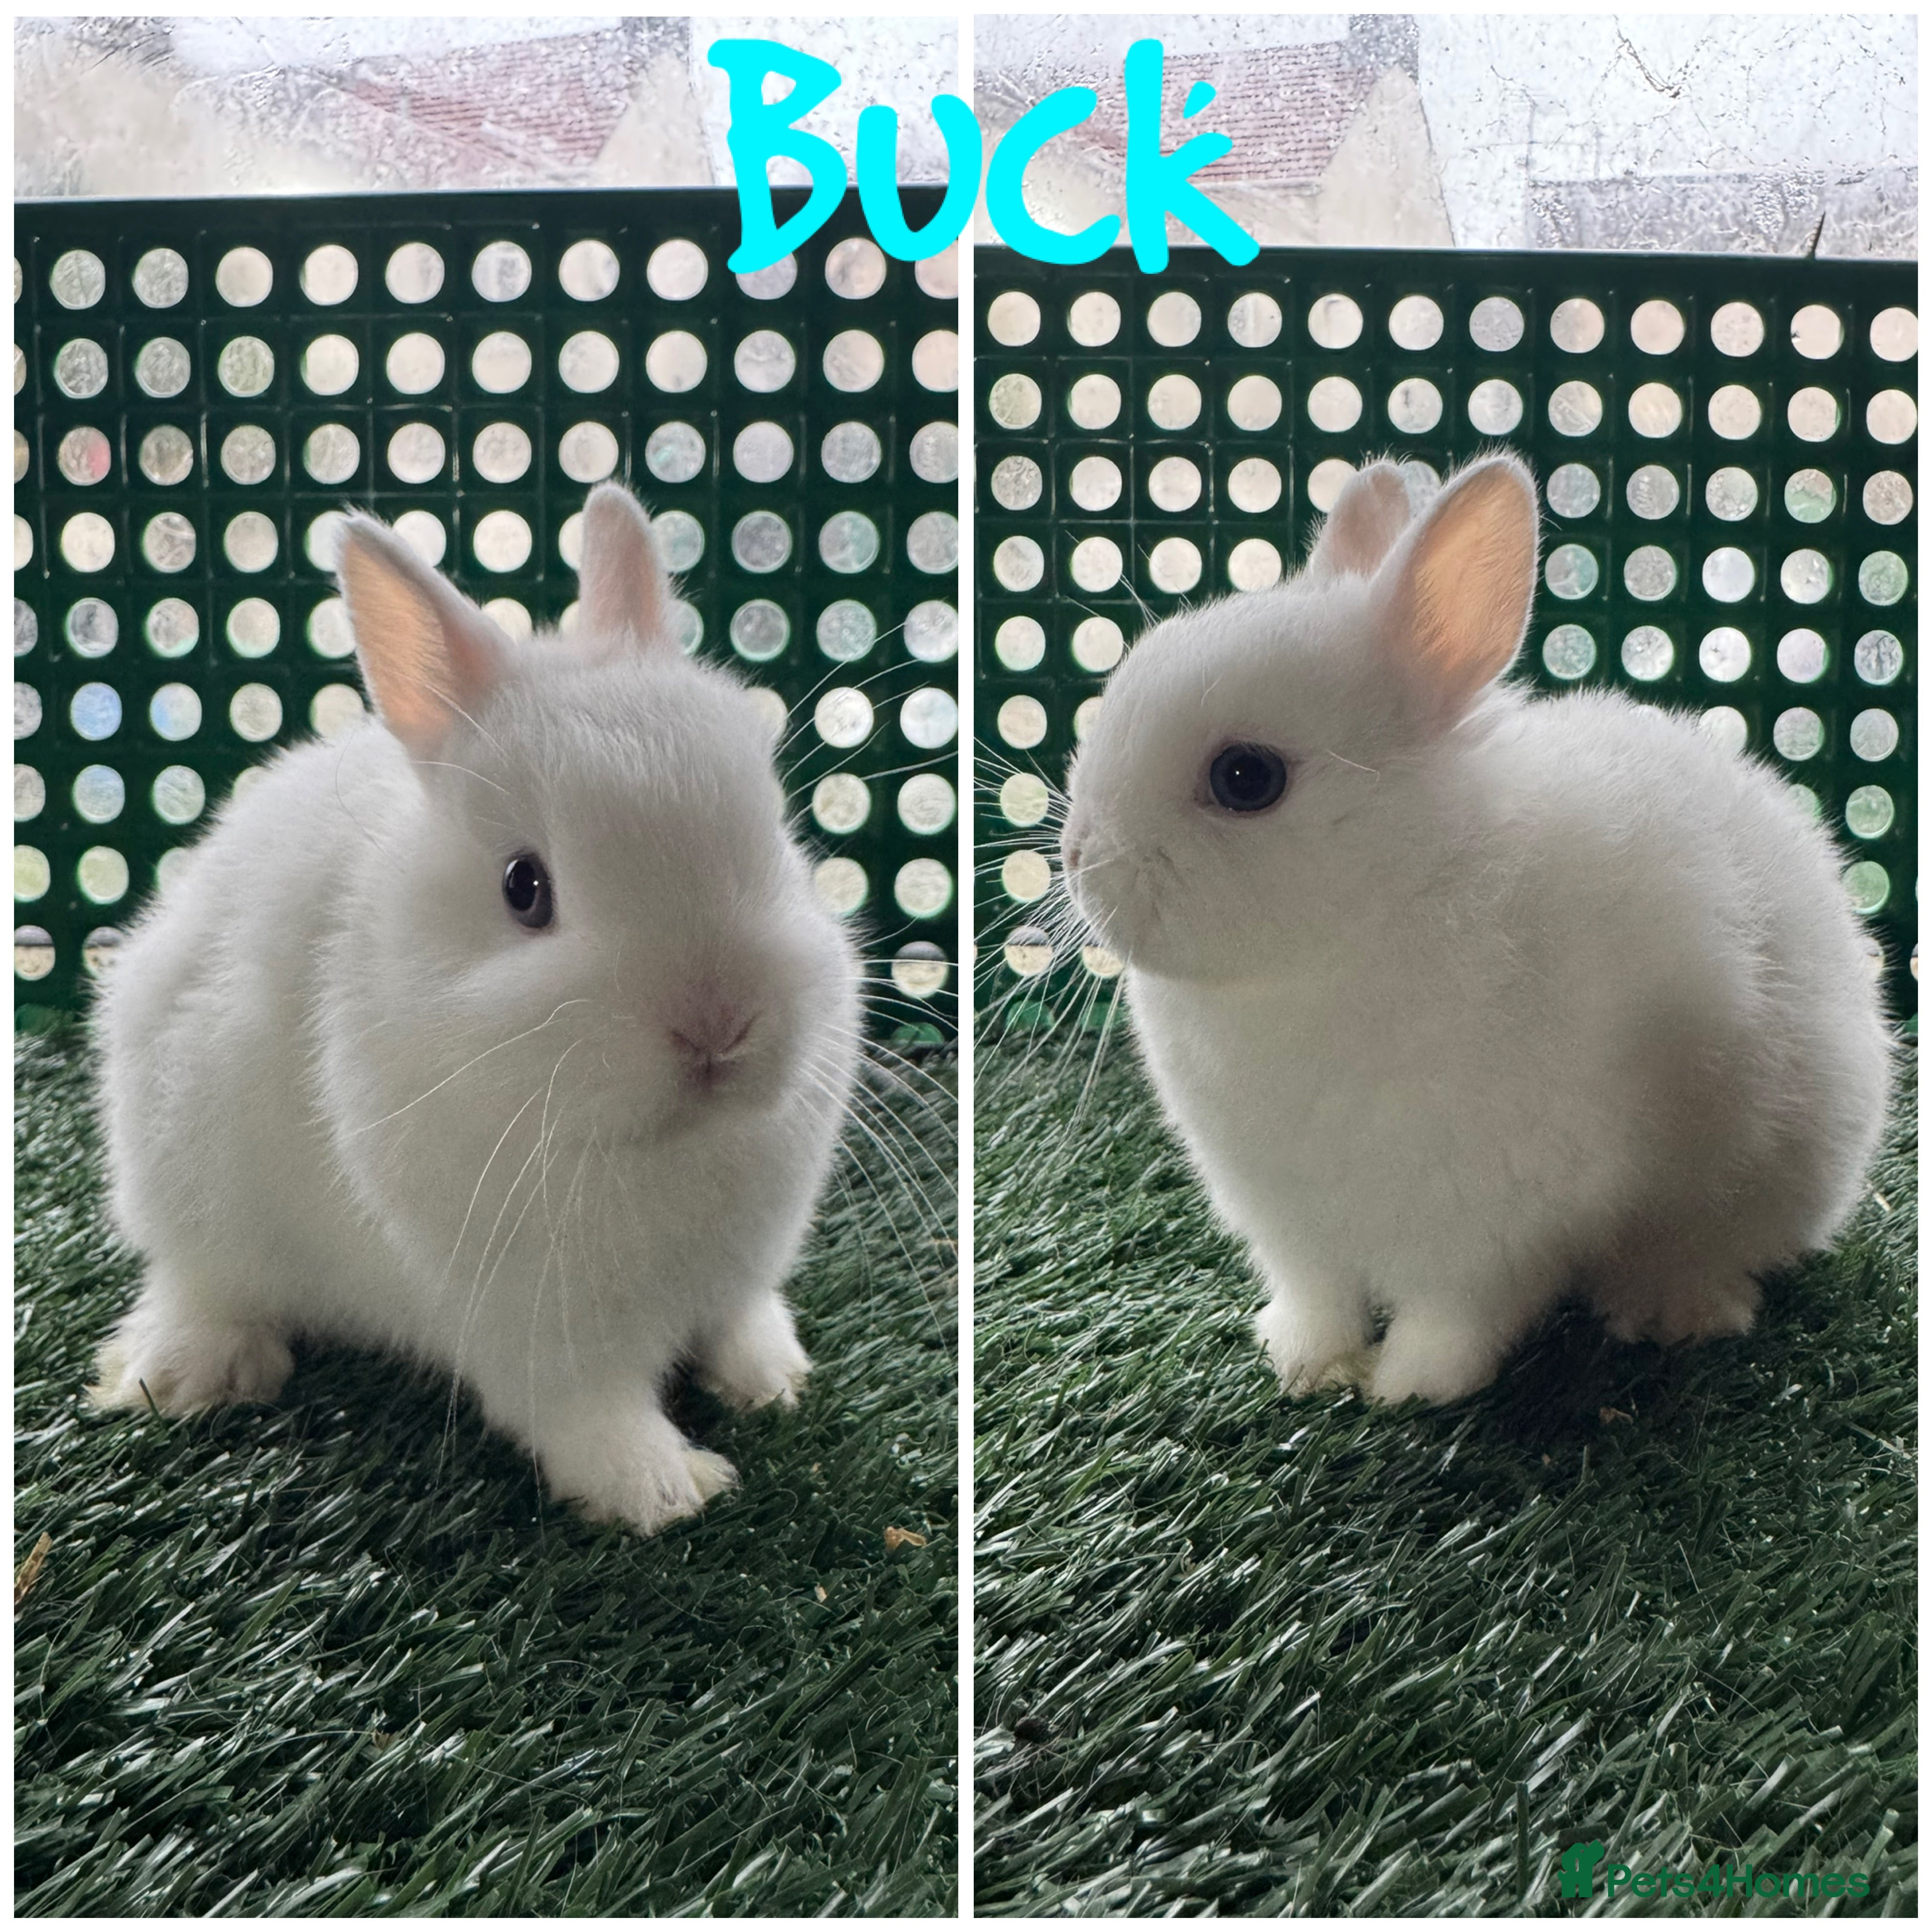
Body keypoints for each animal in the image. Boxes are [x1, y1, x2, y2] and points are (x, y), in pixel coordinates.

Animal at [91, 484, 864, 1532]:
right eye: (523, 887)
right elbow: (586, 1414)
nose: (718, 1025)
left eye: (775, 834)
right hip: (185, 1183)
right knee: (200, 1282)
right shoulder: (533, 1328)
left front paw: (774, 1381)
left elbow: (738, 1322)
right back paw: (191, 1374)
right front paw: (667, 1492)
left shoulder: (738, 1273)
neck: (649, 1145)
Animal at [1059, 454, 1892, 1406]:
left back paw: (1669, 1312)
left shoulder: (1492, 1227)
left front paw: (1411, 1389)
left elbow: (1457, 1315)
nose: (1076, 856)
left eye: (1246, 778)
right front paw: (1307, 1365)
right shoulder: (1292, 1227)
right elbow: (1318, 1295)